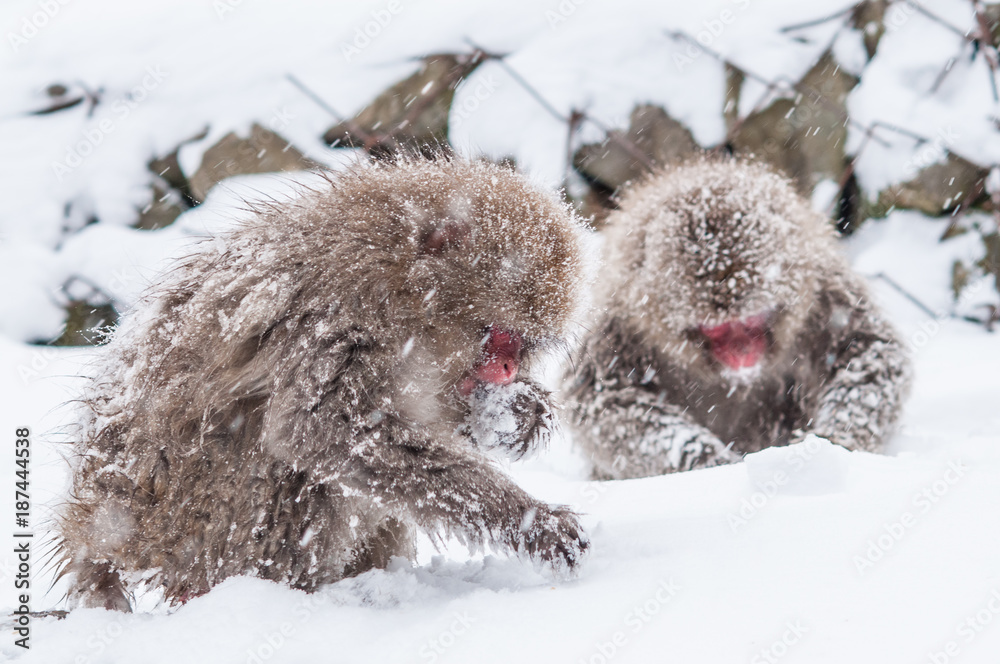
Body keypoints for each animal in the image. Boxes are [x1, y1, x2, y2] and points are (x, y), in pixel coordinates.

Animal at [58, 157, 588, 612]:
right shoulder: (340, 311)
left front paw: (520, 414)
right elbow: (323, 429)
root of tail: (99, 522)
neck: (405, 283)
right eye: (495, 333)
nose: (507, 370)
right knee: (297, 475)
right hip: (201, 528)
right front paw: (530, 521)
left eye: (524, 343)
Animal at [568, 156, 912, 478]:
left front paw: (833, 439)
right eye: (715, 329)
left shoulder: (821, 289)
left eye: (751, 321)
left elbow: (868, 350)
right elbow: (603, 398)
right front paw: (704, 459)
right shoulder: (619, 319)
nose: (741, 351)